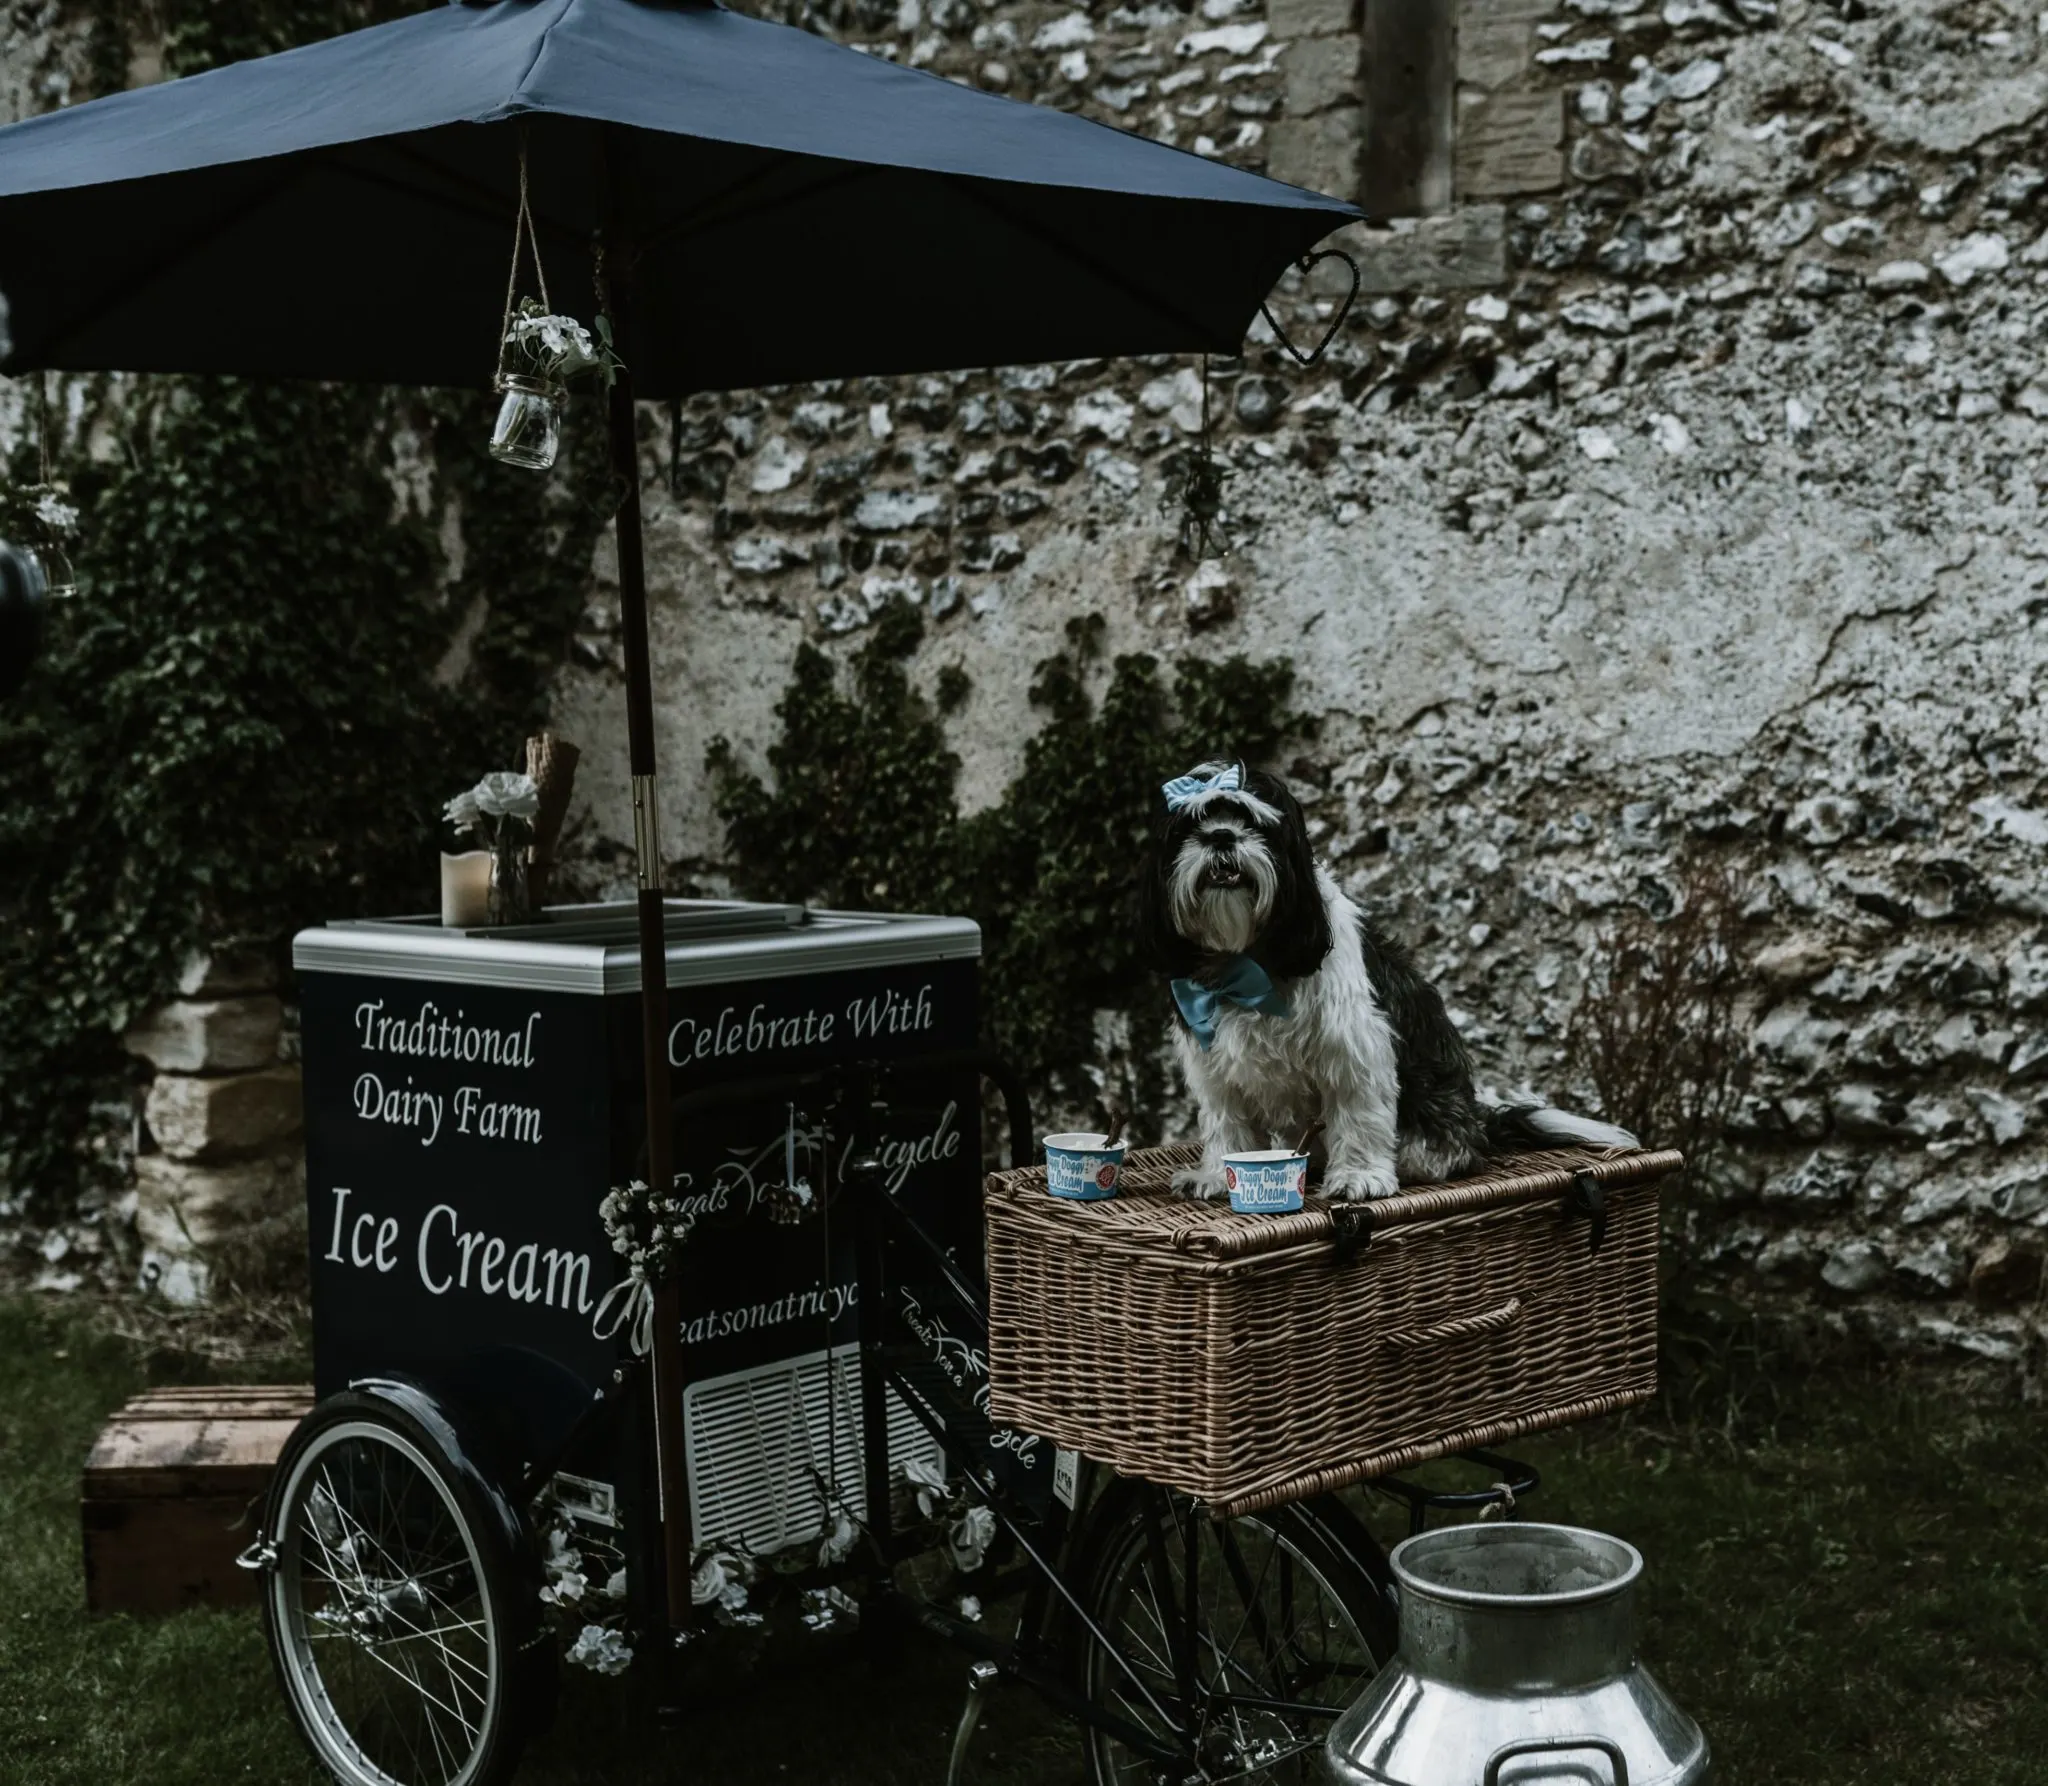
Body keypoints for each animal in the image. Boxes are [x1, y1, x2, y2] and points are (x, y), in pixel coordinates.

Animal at [1138, 757, 1630, 1196]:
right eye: (1189, 828)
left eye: (1253, 823)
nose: (1221, 835)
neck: (1248, 959)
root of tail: (1477, 1123)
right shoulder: (1215, 1065)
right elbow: (1228, 1124)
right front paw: (1216, 1177)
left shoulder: (1353, 1042)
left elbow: (1357, 1111)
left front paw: (1360, 1177)